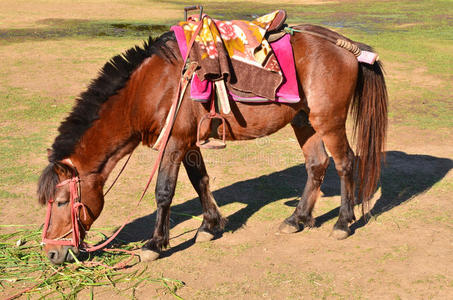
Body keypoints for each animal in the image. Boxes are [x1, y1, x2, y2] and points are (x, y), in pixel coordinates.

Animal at [37, 24, 386, 264]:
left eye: (62, 202)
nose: (52, 254)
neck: (152, 88)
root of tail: (348, 47)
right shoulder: (189, 143)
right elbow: (200, 181)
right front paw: (210, 226)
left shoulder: (174, 143)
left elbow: (164, 191)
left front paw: (154, 244)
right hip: (304, 121)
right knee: (317, 165)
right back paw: (297, 219)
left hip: (329, 121)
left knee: (346, 163)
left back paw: (343, 223)